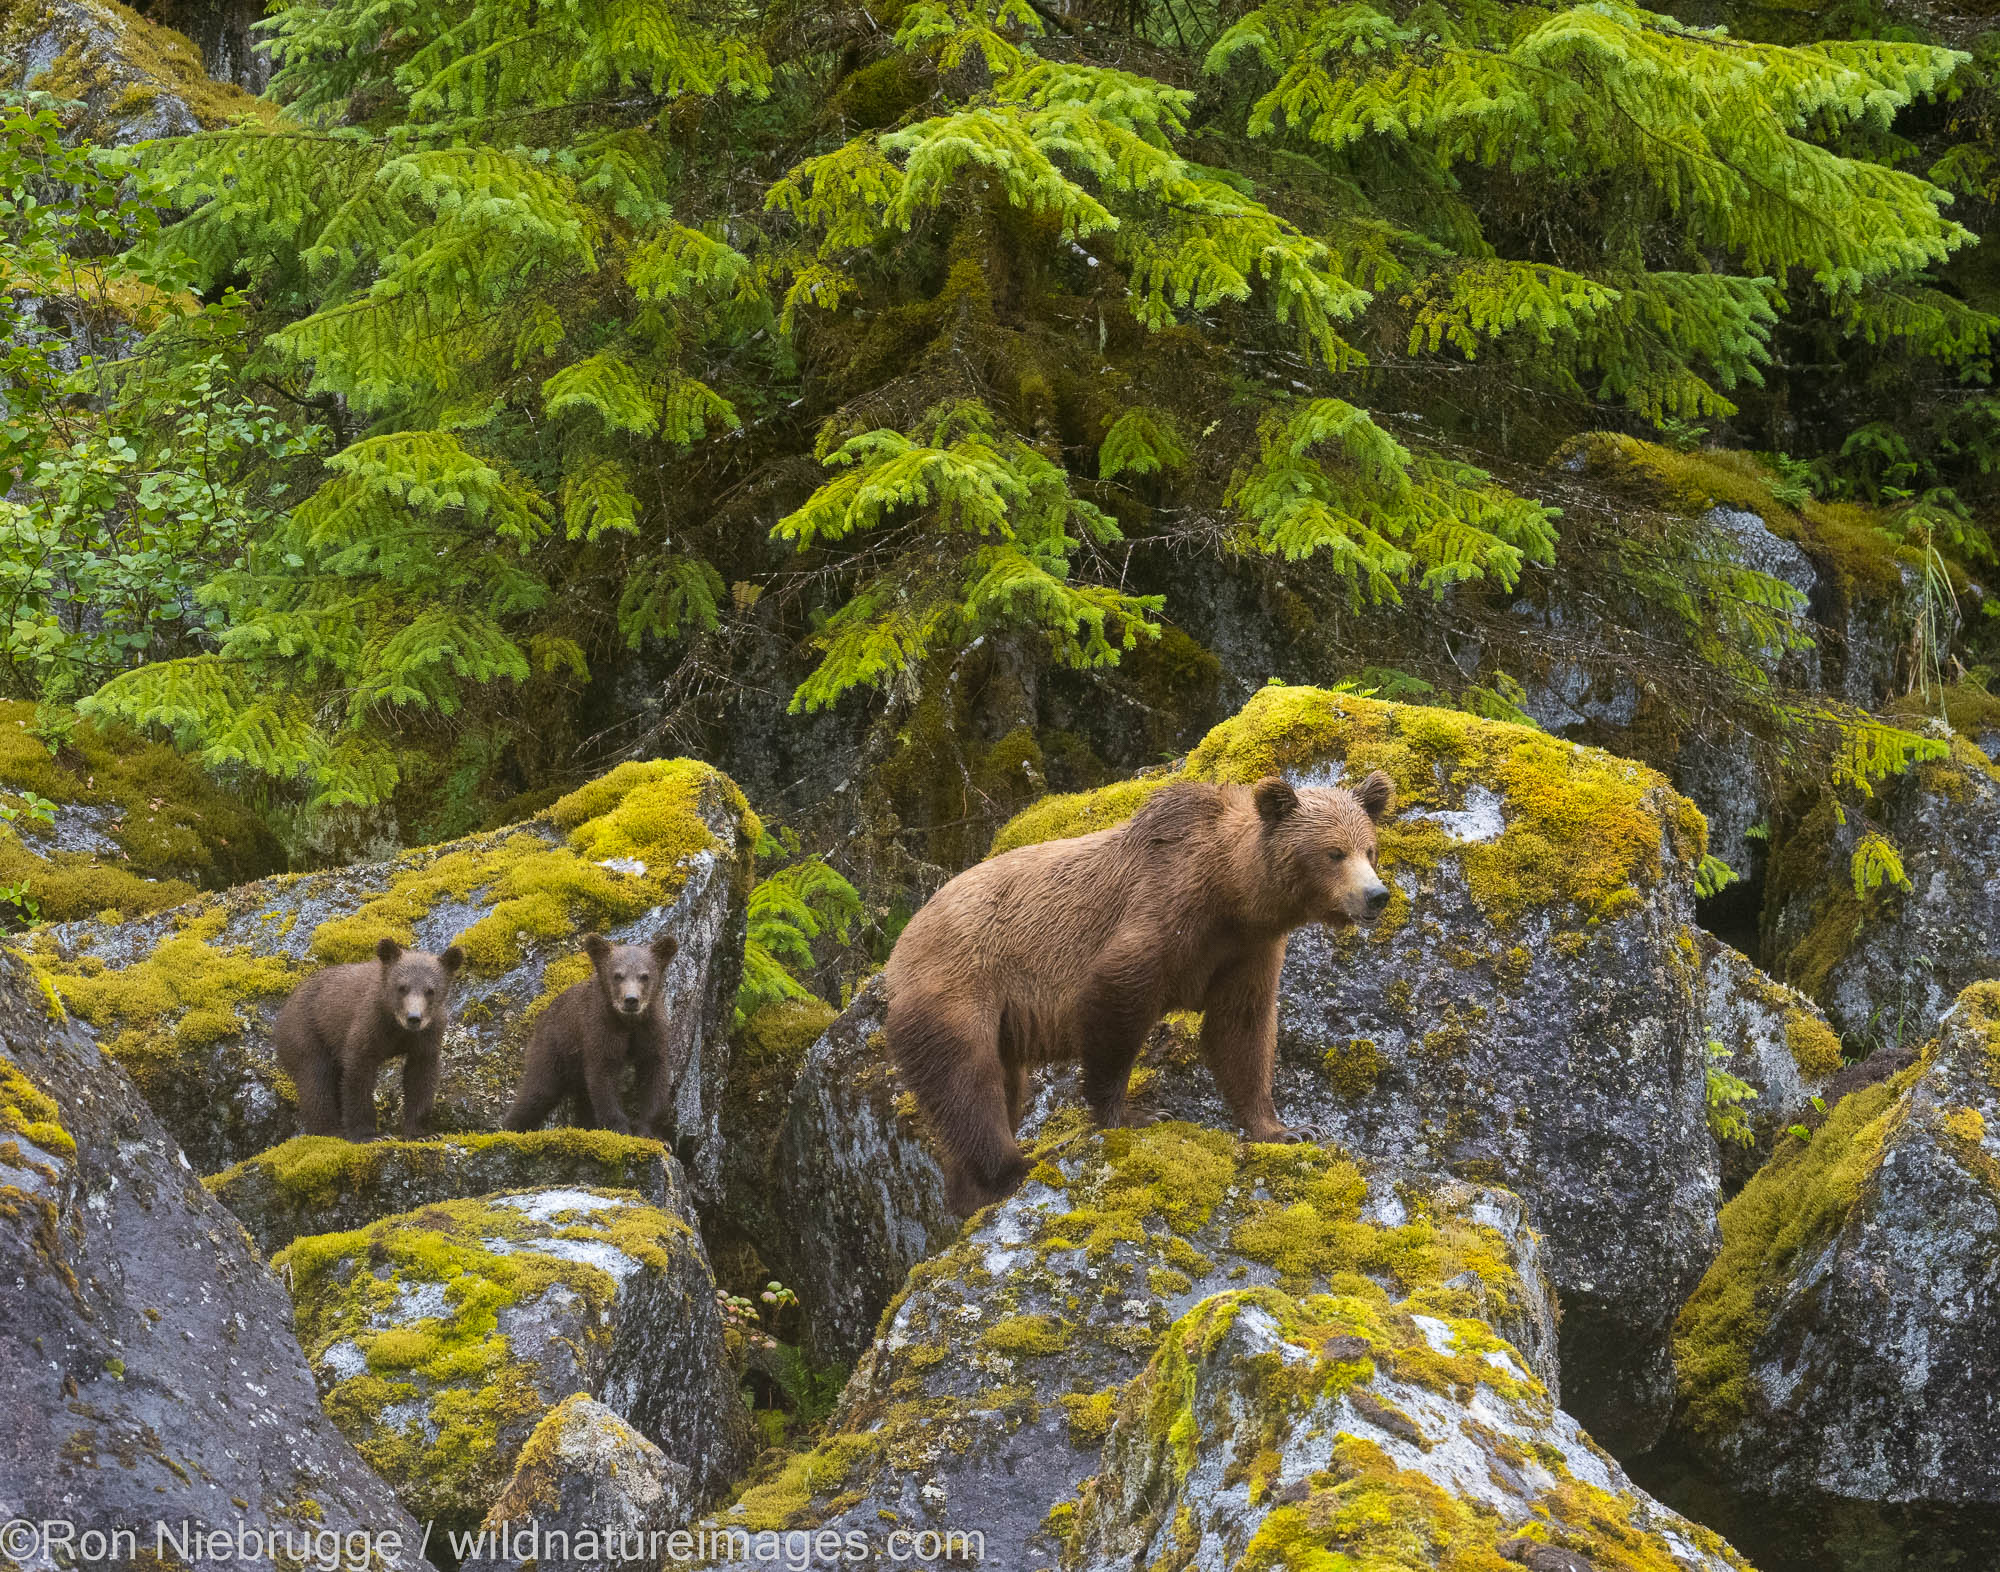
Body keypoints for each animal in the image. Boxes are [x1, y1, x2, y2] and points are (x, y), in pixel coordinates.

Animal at [884, 764, 1400, 1208]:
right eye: (1334, 852)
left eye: (1369, 848)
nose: (1376, 895)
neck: (1232, 893)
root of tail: (899, 944)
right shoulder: (1161, 914)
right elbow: (1115, 1005)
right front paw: (1136, 1115)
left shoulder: (1247, 951)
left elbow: (1243, 1030)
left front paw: (1286, 1129)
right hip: (958, 988)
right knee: (971, 1085)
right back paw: (1019, 1164)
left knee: (998, 1091)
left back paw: (971, 1194)